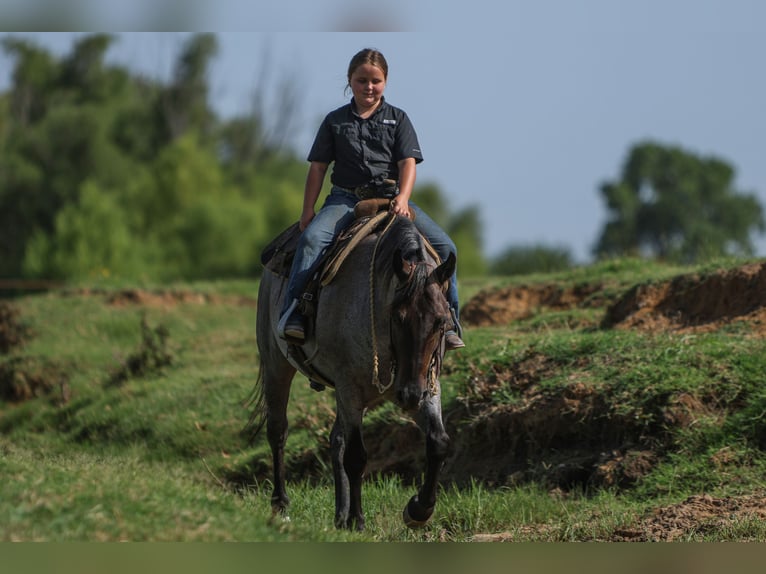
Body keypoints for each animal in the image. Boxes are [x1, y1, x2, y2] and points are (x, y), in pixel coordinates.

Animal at [250, 214, 456, 532]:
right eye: (398, 317)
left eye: (442, 321)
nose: (410, 396)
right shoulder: (350, 386)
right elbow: (357, 456)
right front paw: (358, 519)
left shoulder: (427, 384)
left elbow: (438, 443)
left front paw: (418, 510)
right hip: (277, 365)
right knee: (278, 431)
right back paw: (282, 505)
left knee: (336, 440)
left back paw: (340, 514)